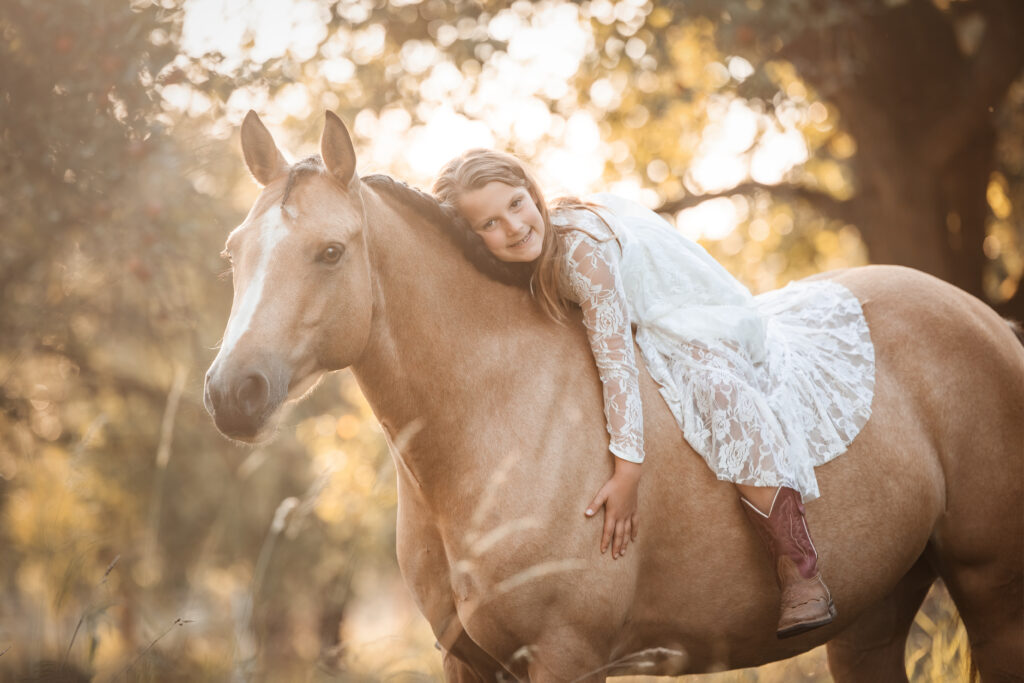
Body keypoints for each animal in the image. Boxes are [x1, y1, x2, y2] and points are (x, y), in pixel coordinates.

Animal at [201, 109, 1024, 679]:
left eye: (330, 252)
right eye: (233, 254)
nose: (231, 393)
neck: (498, 424)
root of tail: (986, 320)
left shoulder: (568, 654)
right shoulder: (464, 660)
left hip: (992, 593)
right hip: (870, 616)